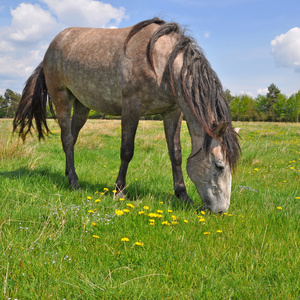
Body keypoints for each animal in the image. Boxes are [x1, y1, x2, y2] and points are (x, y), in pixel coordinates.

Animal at [14, 17, 240, 213]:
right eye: (219, 166)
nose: (221, 211)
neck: (161, 63)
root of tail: (53, 45)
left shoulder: (172, 112)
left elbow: (175, 154)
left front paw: (183, 195)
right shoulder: (131, 108)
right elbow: (127, 150)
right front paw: (119, 190)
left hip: (82, 105)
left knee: (71, 137)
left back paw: (69, 173)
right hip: (62, 98)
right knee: (68, 139)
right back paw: (75, 182)